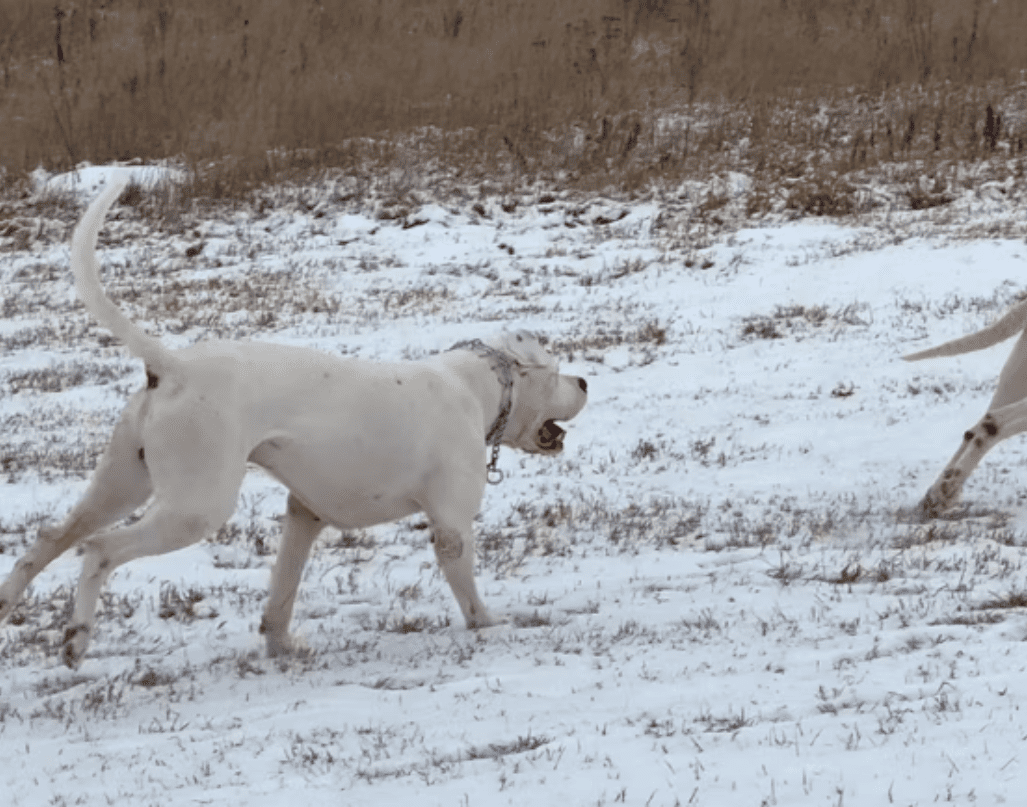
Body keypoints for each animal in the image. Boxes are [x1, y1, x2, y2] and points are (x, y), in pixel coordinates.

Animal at [0, 179, 587, 665]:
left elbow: (284, 586)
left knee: (52, 536)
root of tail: (174, 366)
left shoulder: (304, 516)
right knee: (100, 549)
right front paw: (490, 625)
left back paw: (8, 605)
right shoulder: (451, 526)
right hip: (195, 507)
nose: (584, 383)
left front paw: (280, 644)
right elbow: (466, 587)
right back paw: (76, 639)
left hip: (122, 484)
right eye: (558, 370)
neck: (476, 385)